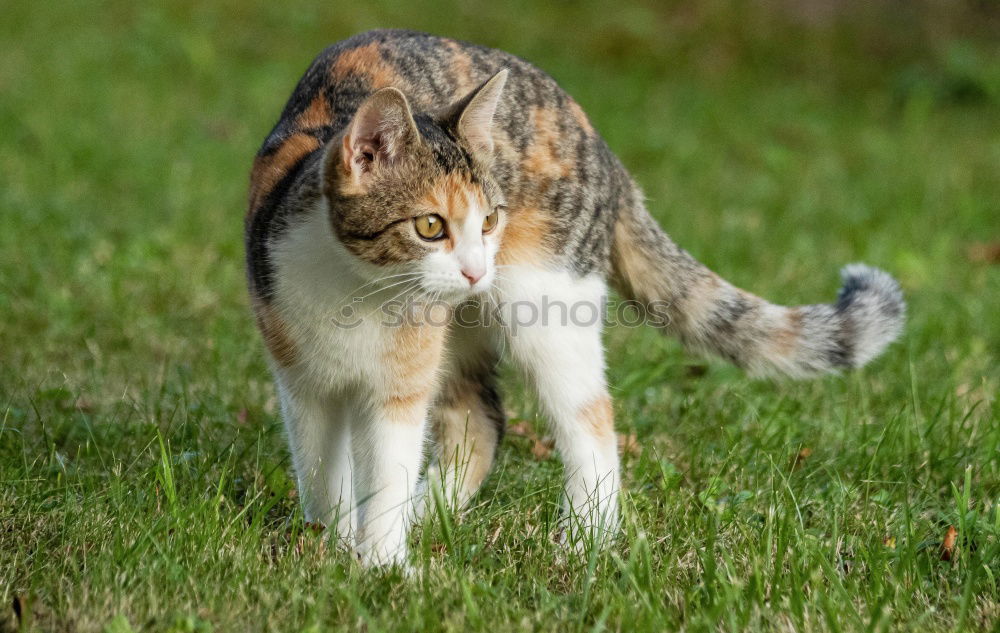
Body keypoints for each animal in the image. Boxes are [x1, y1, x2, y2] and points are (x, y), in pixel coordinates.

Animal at [244, 28, 908, 568]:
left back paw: (585, 539)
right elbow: (323, 473)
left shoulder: (400, 389)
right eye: (431, 226)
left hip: (543, 306)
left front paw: (381, 567)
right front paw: (329, 549)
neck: (358, 294)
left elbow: (386, 472)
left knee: (590, 419)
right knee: (482, 418)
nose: (476, 270)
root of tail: (602, 145)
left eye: (490, 221)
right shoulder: (302, 382)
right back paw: (429, 514)